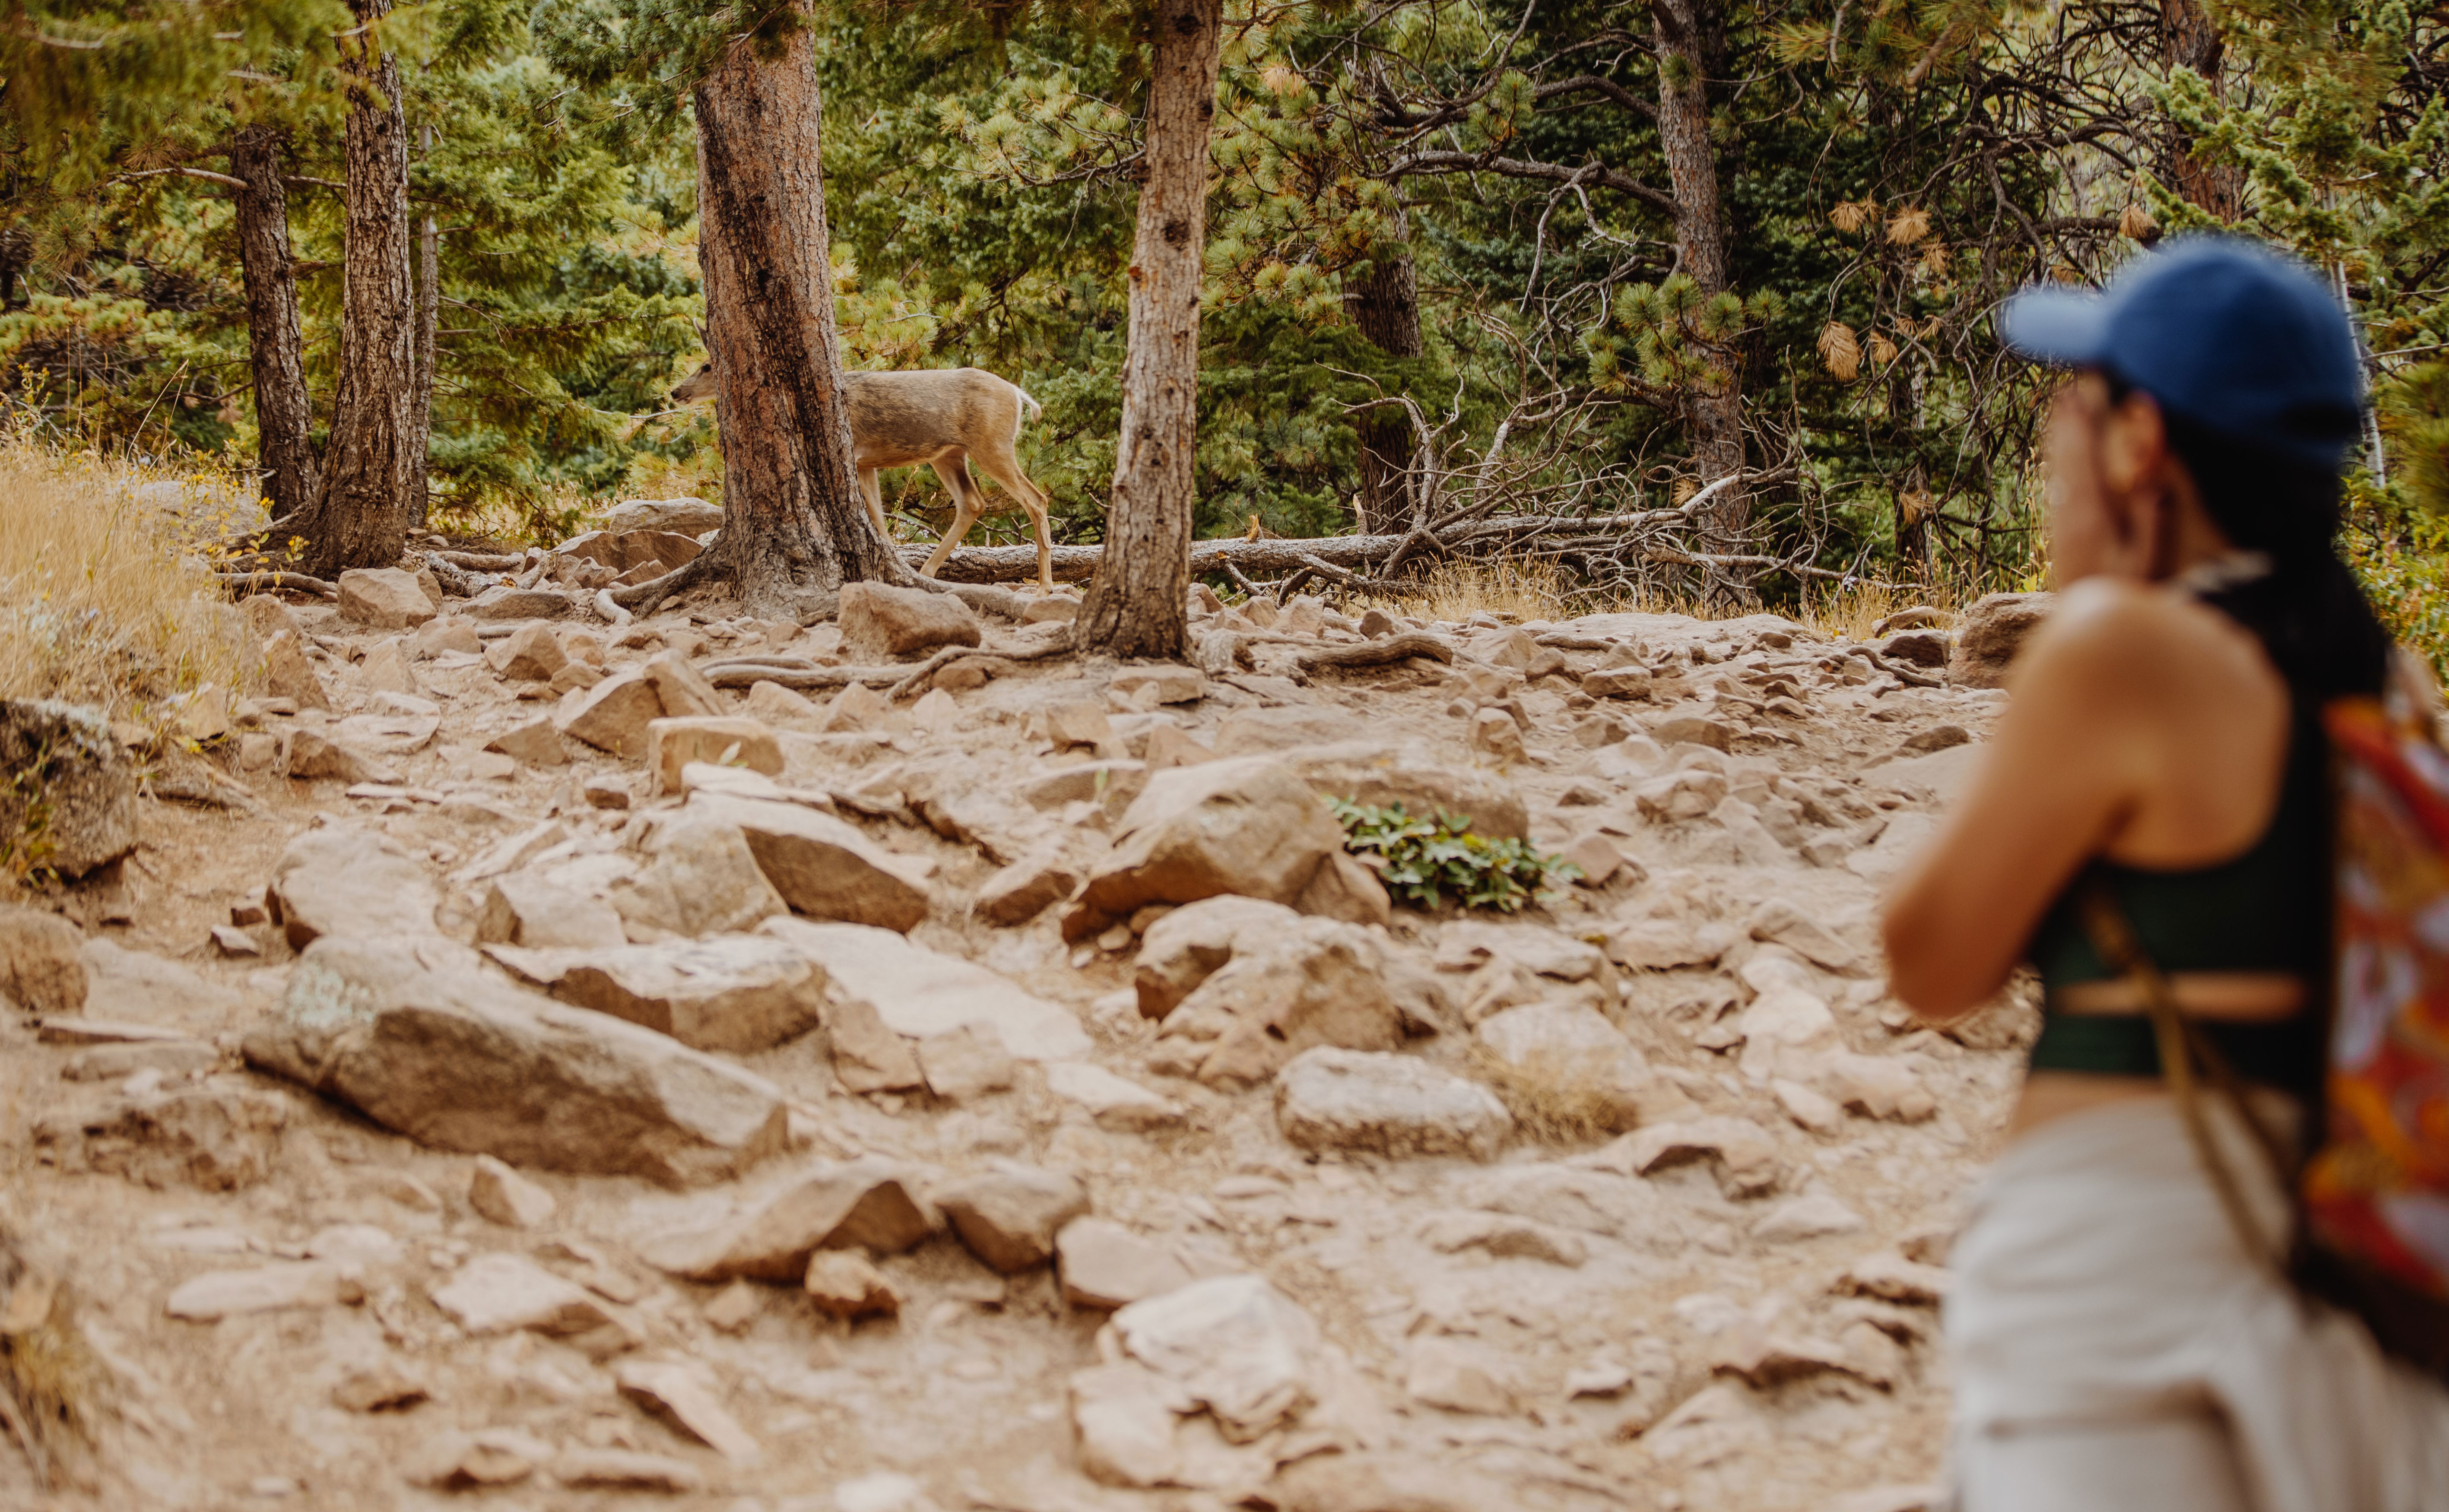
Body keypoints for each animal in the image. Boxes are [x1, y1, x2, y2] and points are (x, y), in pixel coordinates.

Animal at [666, 362, 1058, 593]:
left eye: (706, 366)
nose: (675, 391)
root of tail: (1018, 394)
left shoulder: (854, 454)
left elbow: (874, 516)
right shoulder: (867, 462)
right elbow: (880, 521)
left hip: (991, 443)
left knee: (1036, 499)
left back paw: (1044, 587)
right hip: (948, 454)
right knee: (972, 503)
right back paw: (927, 572)